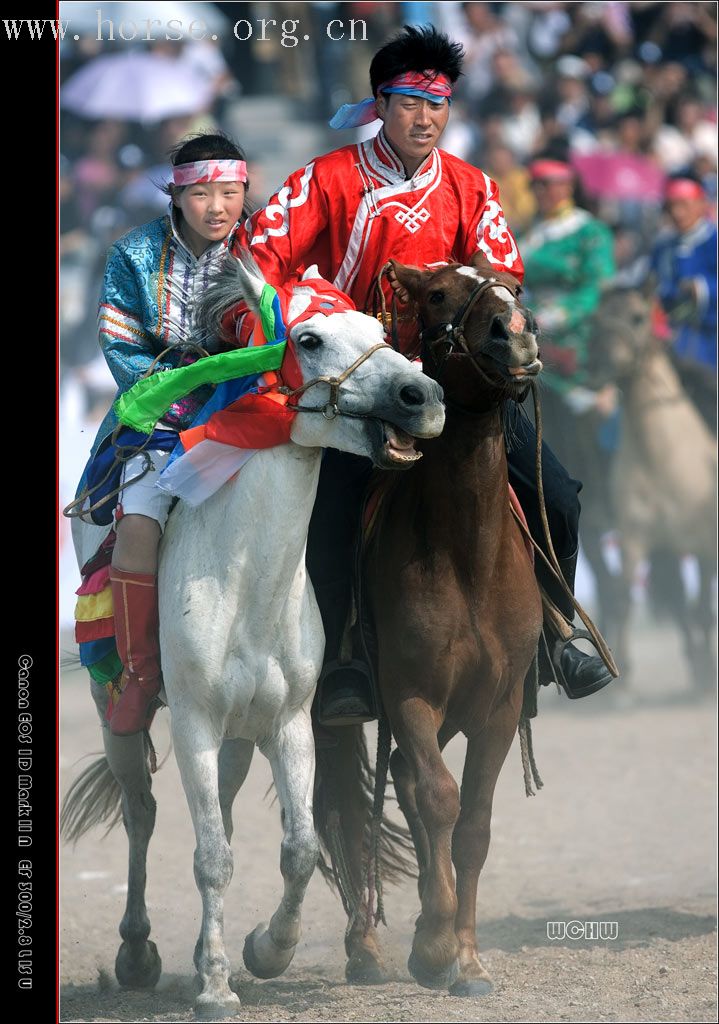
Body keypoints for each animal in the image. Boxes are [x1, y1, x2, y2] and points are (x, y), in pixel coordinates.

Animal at [63, 260, 444, 1019]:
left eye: (380, 329)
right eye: (309, 338)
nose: (422, 395)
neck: (247, 587)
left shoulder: (288, 722)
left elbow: (294, 848)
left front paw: (266, 951)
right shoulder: (194, 725)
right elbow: (209, 857)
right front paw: (214, 985)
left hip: (238, 738)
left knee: (227, 817)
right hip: (117, 711)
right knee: (143, 814)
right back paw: (138, 953)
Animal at [315, 251, 544, 995]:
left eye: (514, 286)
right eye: (439, 294)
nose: (516, 333)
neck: (467, 551)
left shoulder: (499, 704)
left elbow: (471, 821)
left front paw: (464, 958)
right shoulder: (409, 693)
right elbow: (439, 799)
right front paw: (436, 943)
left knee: (400, 782)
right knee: (346, 806)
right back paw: (364, 947)